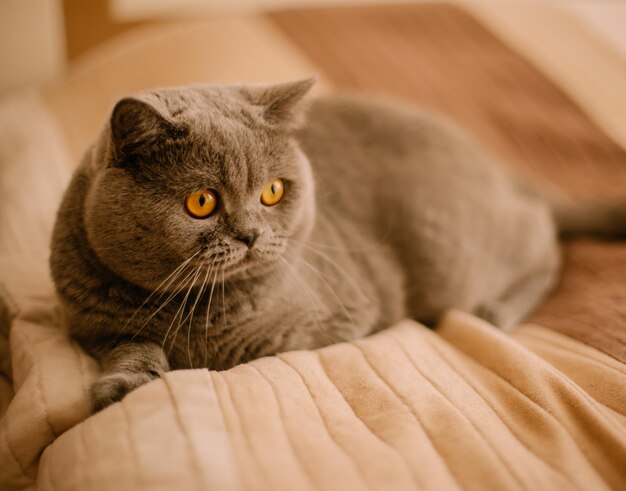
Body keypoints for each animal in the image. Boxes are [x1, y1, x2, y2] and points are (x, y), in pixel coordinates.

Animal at [50, 80, 624, 412]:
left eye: (273, 191)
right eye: (201, 202)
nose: (251, 234)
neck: (188, 306)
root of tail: (501, 167)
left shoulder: (335, 320)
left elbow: (237, 354)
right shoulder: (93, 326)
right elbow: (130, 343)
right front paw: (125, 385)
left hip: (457, 251)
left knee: (545, 240)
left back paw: (497, 309)